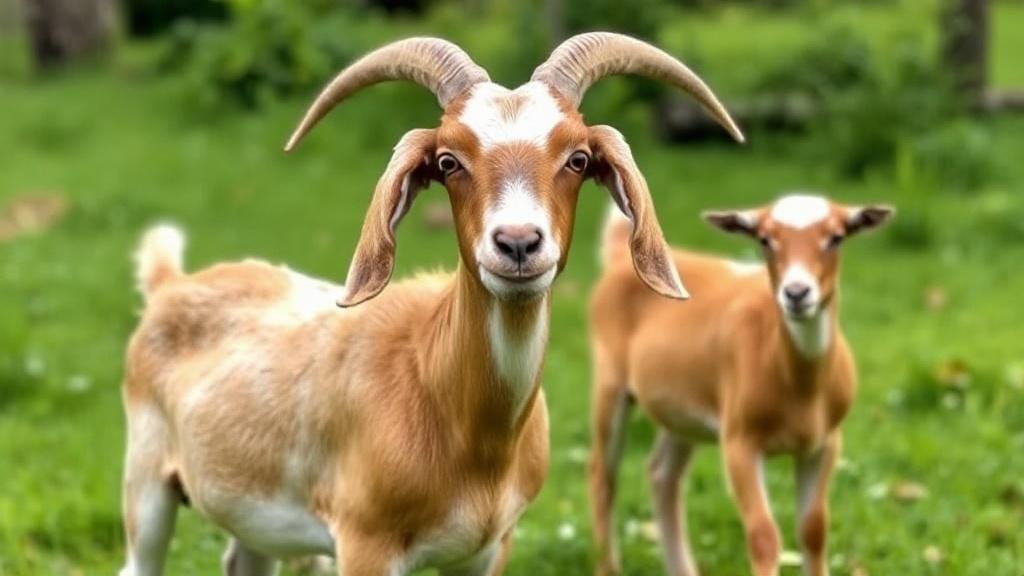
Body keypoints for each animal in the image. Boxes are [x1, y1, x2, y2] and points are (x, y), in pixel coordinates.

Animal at [119, 34, 742, 576]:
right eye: (448, 161)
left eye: (579, 158)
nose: (518, 243)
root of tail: (171, 282)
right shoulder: (364, 544)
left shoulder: (486, 551)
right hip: (146, 482)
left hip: (255, 520)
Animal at [588, 194, 893, 576]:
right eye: (765, 240)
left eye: (836, 237)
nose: (796, 293)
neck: (800, 389)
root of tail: (619, 258)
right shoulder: (739, 441)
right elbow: (764, 535)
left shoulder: (826, 442)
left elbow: (814, 530)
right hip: (608, 377)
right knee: (603, 476)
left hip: (681, 409)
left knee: (662, 474)